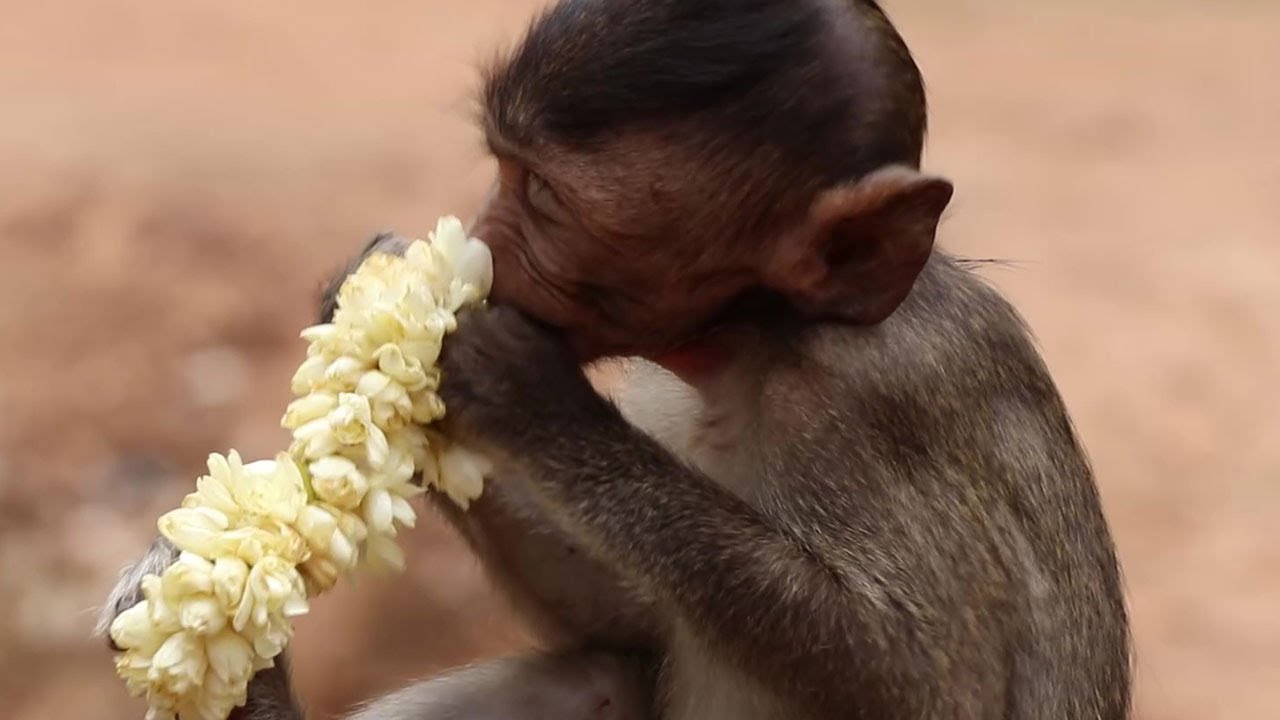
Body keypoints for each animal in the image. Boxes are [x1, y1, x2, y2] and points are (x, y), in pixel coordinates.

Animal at [98, 1, 1133, 718]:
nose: (479, 237)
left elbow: (920, 679)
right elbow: (632, 624)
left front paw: (522, 395)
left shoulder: (867, 401)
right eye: (502, 166)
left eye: (545, 198)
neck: (758, 341)